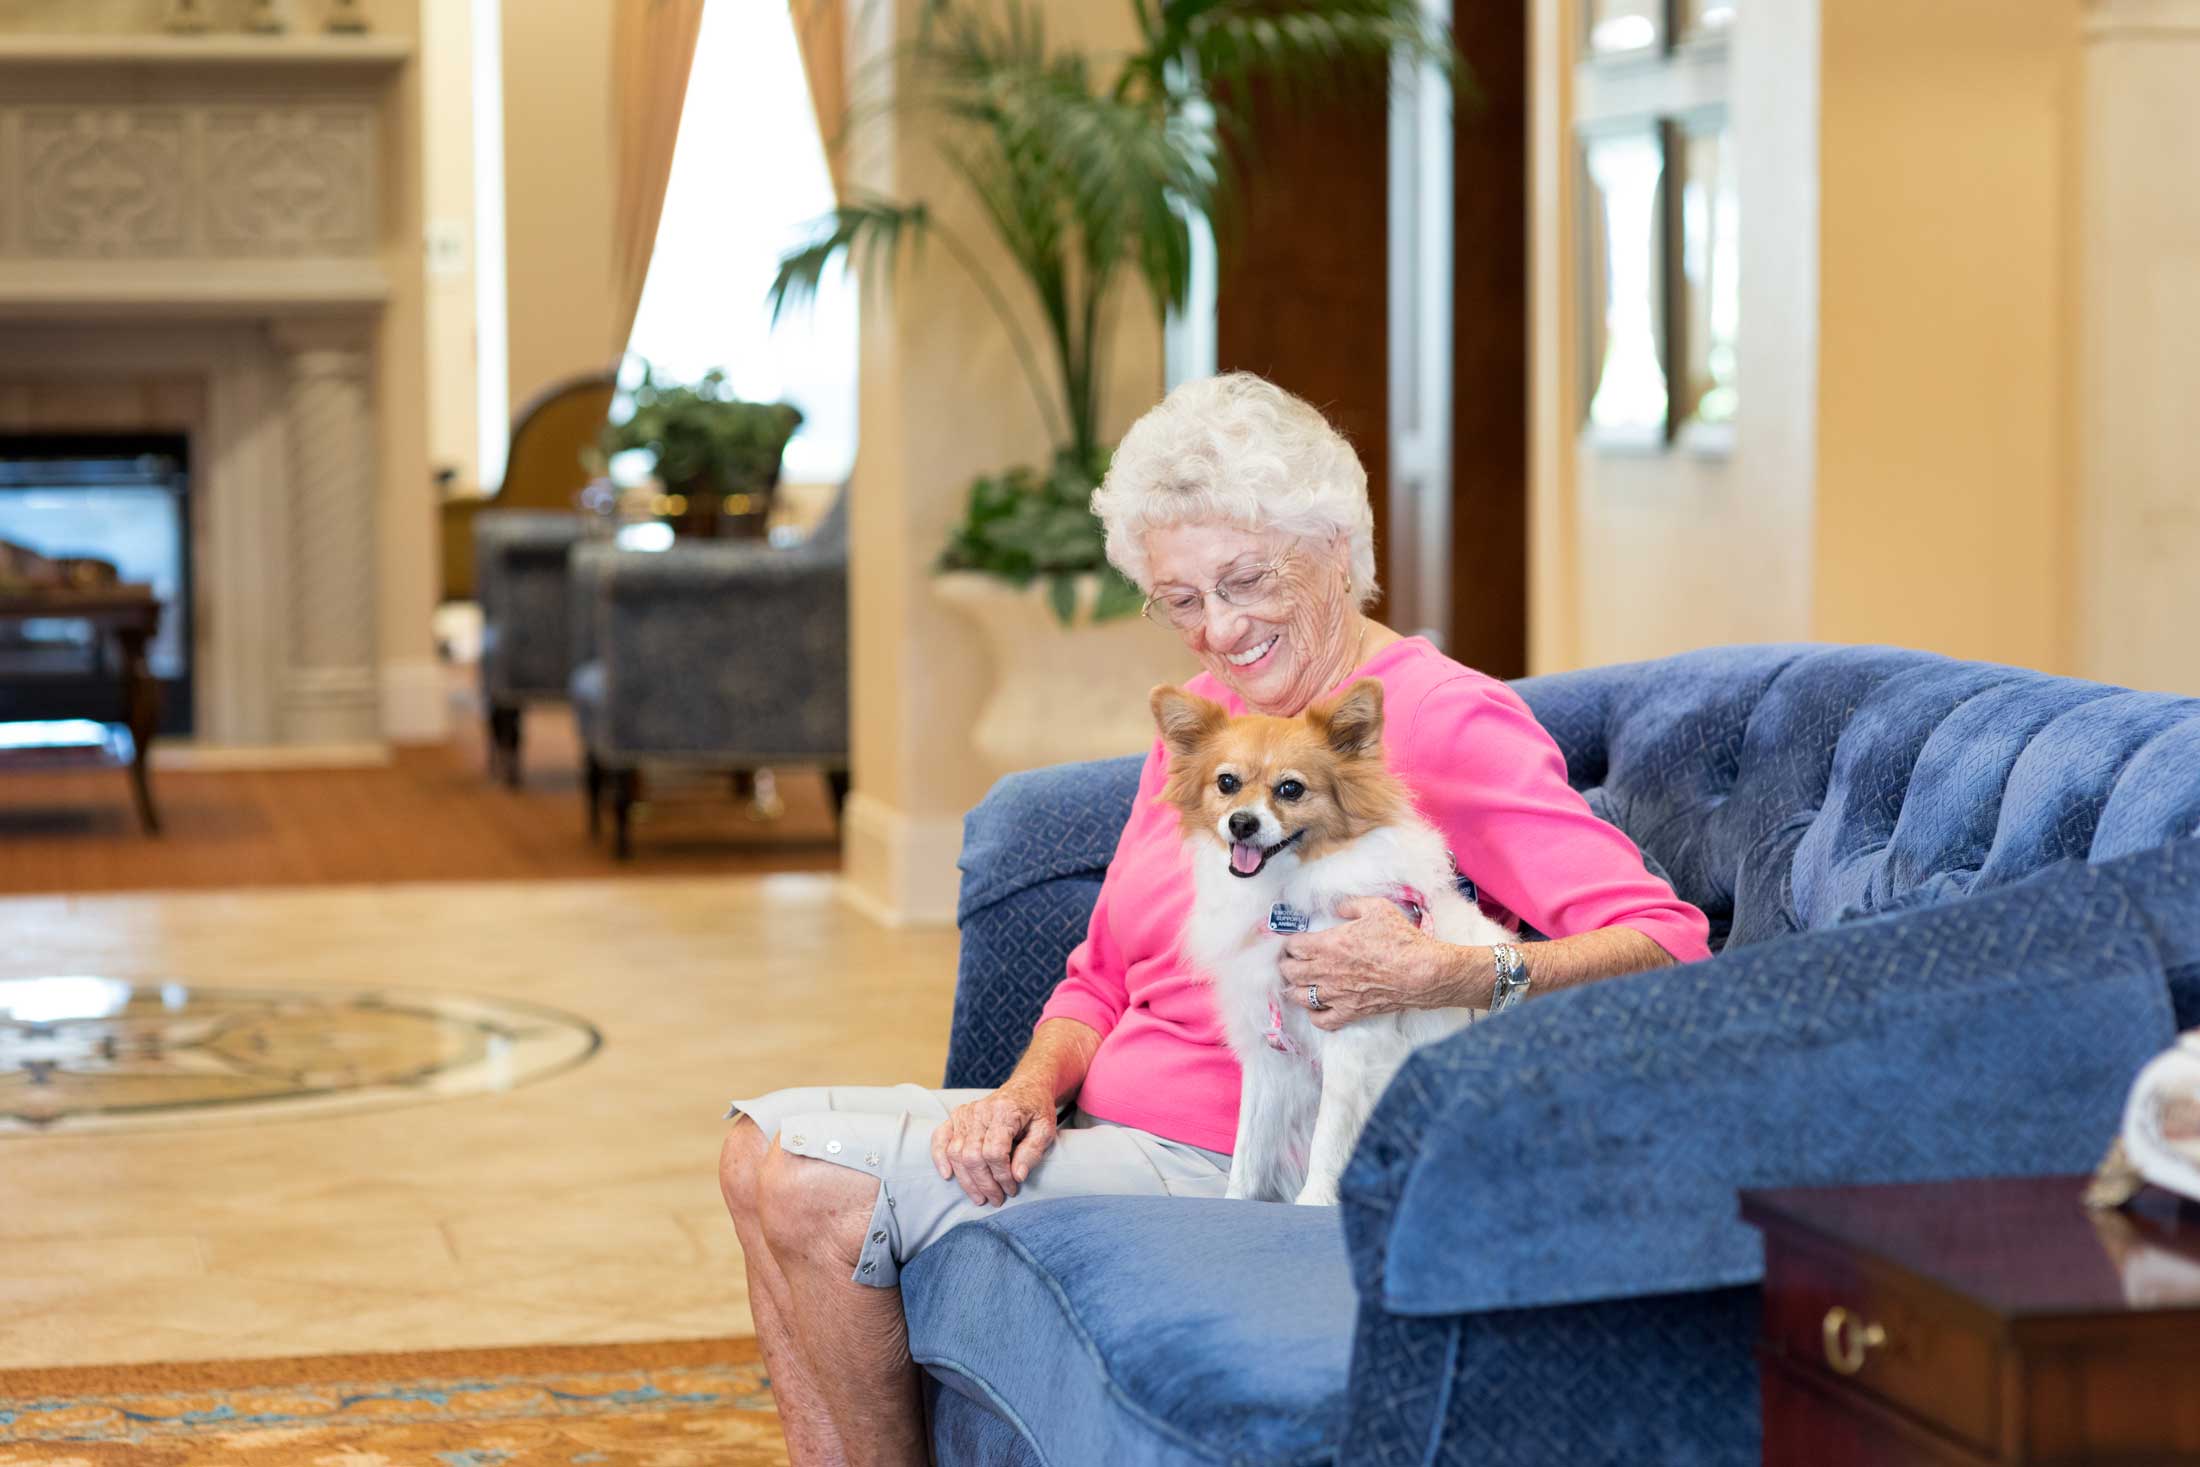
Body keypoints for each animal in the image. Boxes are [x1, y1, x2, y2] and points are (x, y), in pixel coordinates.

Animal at [1152, 677, 1513, 1205]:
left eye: (1291, 788)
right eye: (1227, 783)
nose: (1241, 822)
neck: (1285, 899)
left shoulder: (1352, 1047)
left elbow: (1329, 1138)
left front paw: (1315, 1203)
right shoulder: (1269, 1054)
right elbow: (1249, 1150)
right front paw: (1237, 1202)